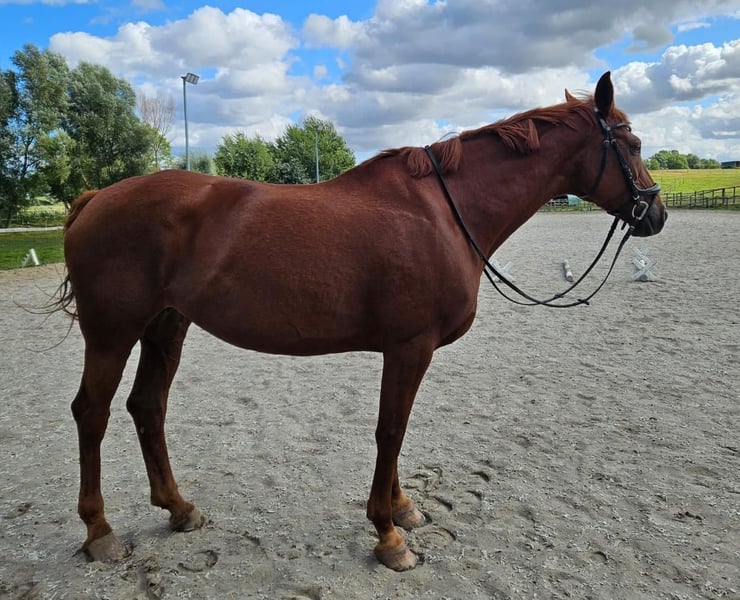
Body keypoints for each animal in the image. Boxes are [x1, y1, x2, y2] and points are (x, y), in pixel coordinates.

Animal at [54, 71, 666, 571]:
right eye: (633, 144)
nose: (655, 212)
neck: (442, 213)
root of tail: (95, 199)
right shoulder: (410, 347)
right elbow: (390, 430)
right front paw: (388, 536)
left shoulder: (405, 350)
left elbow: (396, 430)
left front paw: (403, 509)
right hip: (111, 333)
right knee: (92, 413)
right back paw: (100, 532)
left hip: (166, 326)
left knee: (147, 407)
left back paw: (179, 509)